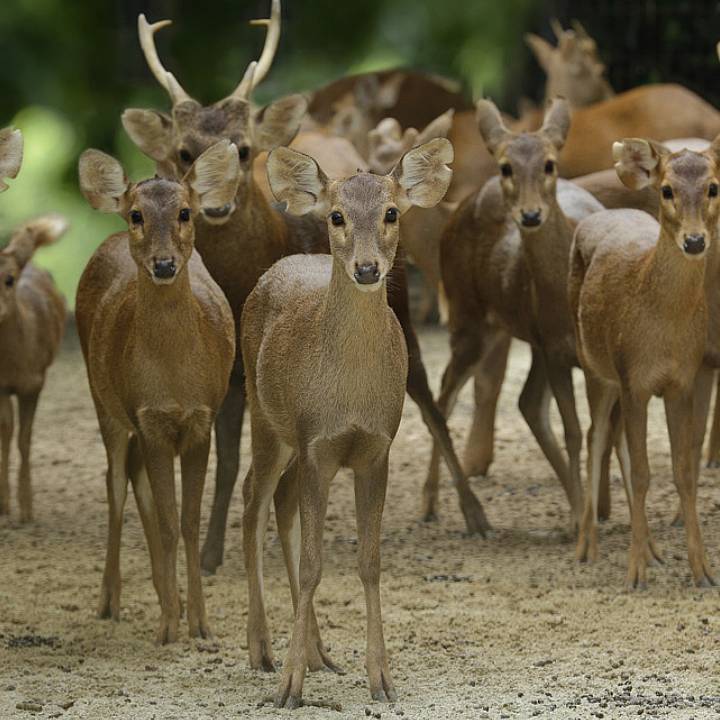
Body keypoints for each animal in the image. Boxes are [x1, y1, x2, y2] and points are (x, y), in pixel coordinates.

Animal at [75, 141, 238, 642]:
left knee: (135, 480)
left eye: (185, 212)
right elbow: (167, 522)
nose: (164, 264)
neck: (173, 378)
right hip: (103, 399)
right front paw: (170, 626)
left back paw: (168, 597)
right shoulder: (148, 419)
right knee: (116, 485)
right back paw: (110, 601)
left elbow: (186, 522)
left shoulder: (201, 419)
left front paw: (199, 623)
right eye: (136, 214)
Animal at [123, 2, 489, 576]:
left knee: (431, 401)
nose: (216, 205)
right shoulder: (232, 368)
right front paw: (210, 551)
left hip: (406, 314)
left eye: (243, 149)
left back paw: (472, 513)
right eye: (184, 153)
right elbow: (230, 457)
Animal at [241, 138, 453, 708]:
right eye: (336, 215)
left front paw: (381, 678)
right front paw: (290, 688)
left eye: (392, 212)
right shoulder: (318, 443)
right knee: (252, 503)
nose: (366, 268)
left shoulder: (376, 449)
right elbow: (315, 564)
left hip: (292, 442)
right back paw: (263, 651)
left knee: (280, 504)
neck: (352, 397)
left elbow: (369, 562)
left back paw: (319, 654)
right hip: (264, 415)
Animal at [424, 97, 627, 530]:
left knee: (527, 402)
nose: (530, 215)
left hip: (528, 338)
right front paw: (579, 517)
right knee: (445, 393)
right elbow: (575, 430)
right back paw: (440, 506)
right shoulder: (556, 350)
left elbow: (604, 428)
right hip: (469, 318)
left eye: (550, 163)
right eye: (506, 167)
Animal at [570, 137, 719, 588]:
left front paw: (701, 569)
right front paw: (634, 572)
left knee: (615, 439)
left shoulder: (681, 381)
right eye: (666, 189)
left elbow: (683, 470)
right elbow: (641, 472)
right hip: (594, 366)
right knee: (595, 437)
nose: (694, 241)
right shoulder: (632, 378)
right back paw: (587, 546)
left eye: (713, 187)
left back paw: (653, 549)